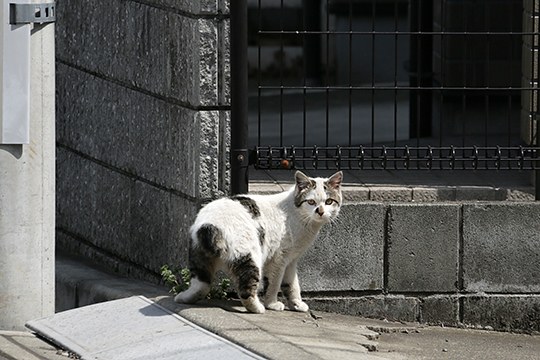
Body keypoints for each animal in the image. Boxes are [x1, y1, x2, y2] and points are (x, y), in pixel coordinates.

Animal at [175, 170, 344, 314]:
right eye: (311, 202)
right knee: (246, 289)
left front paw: (296, 304)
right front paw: (272, 304)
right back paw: (258, 308)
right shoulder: (279, 259)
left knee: (201, 285)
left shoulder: (291, 260)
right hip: (250, 256)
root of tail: (210, 225)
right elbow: (274, 283)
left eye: (329, 201)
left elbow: (292, 283)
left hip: (199, 257)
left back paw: (184, 298)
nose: (320, 211)